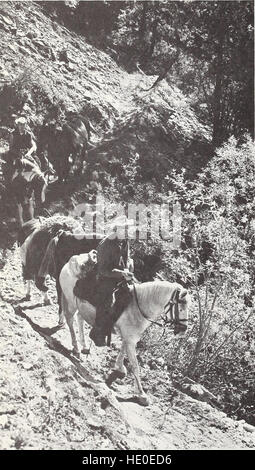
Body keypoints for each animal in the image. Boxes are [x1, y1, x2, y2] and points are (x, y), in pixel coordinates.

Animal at [59, 253, 189, 404]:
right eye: (180, 307)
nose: (183, 329)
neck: (138, 306)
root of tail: (71, 262)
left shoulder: (129, 337)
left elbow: (122, 350)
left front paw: (119, 367)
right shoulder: (131, 340)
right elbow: (135, 366)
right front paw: (142, 394)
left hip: (82, 306)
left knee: (79, 318)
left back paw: (84, 346)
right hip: (71, 303)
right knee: (70, 320)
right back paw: (76, 348)